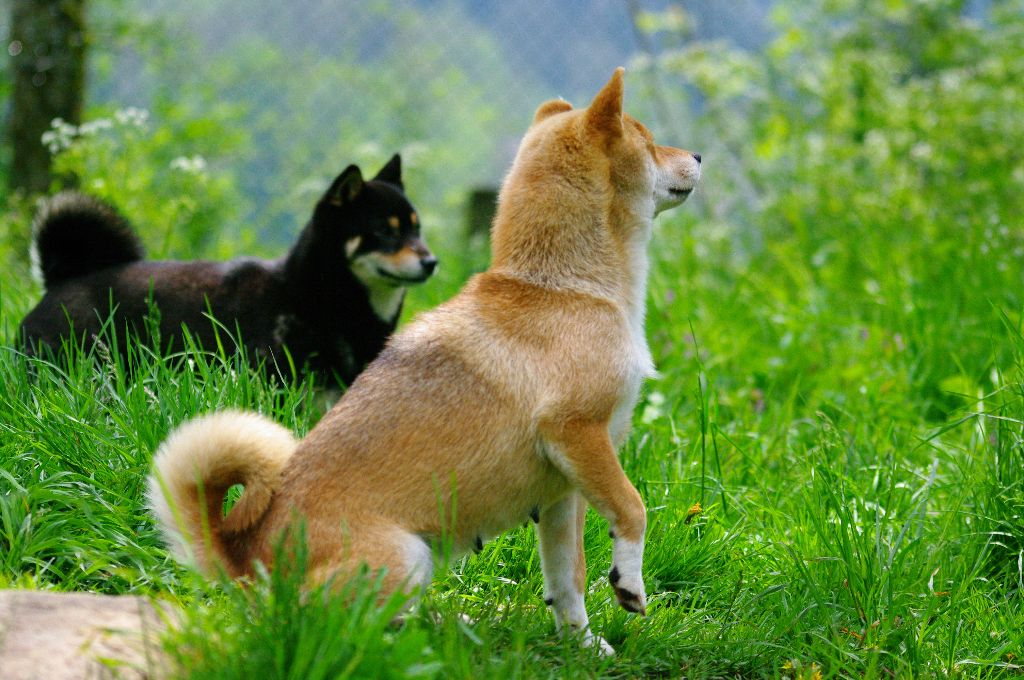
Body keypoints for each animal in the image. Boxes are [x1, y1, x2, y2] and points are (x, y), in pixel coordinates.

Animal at [148, 69, 700, 655]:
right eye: (648, 140)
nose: (697, 155)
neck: (561, 286)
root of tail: (244, 559)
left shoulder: (563, 492)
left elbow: (567, 578)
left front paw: (582, 645)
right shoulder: (578, 435)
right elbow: (633, 508)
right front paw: (629, 583)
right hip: (406, 557)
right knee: (332, 627)